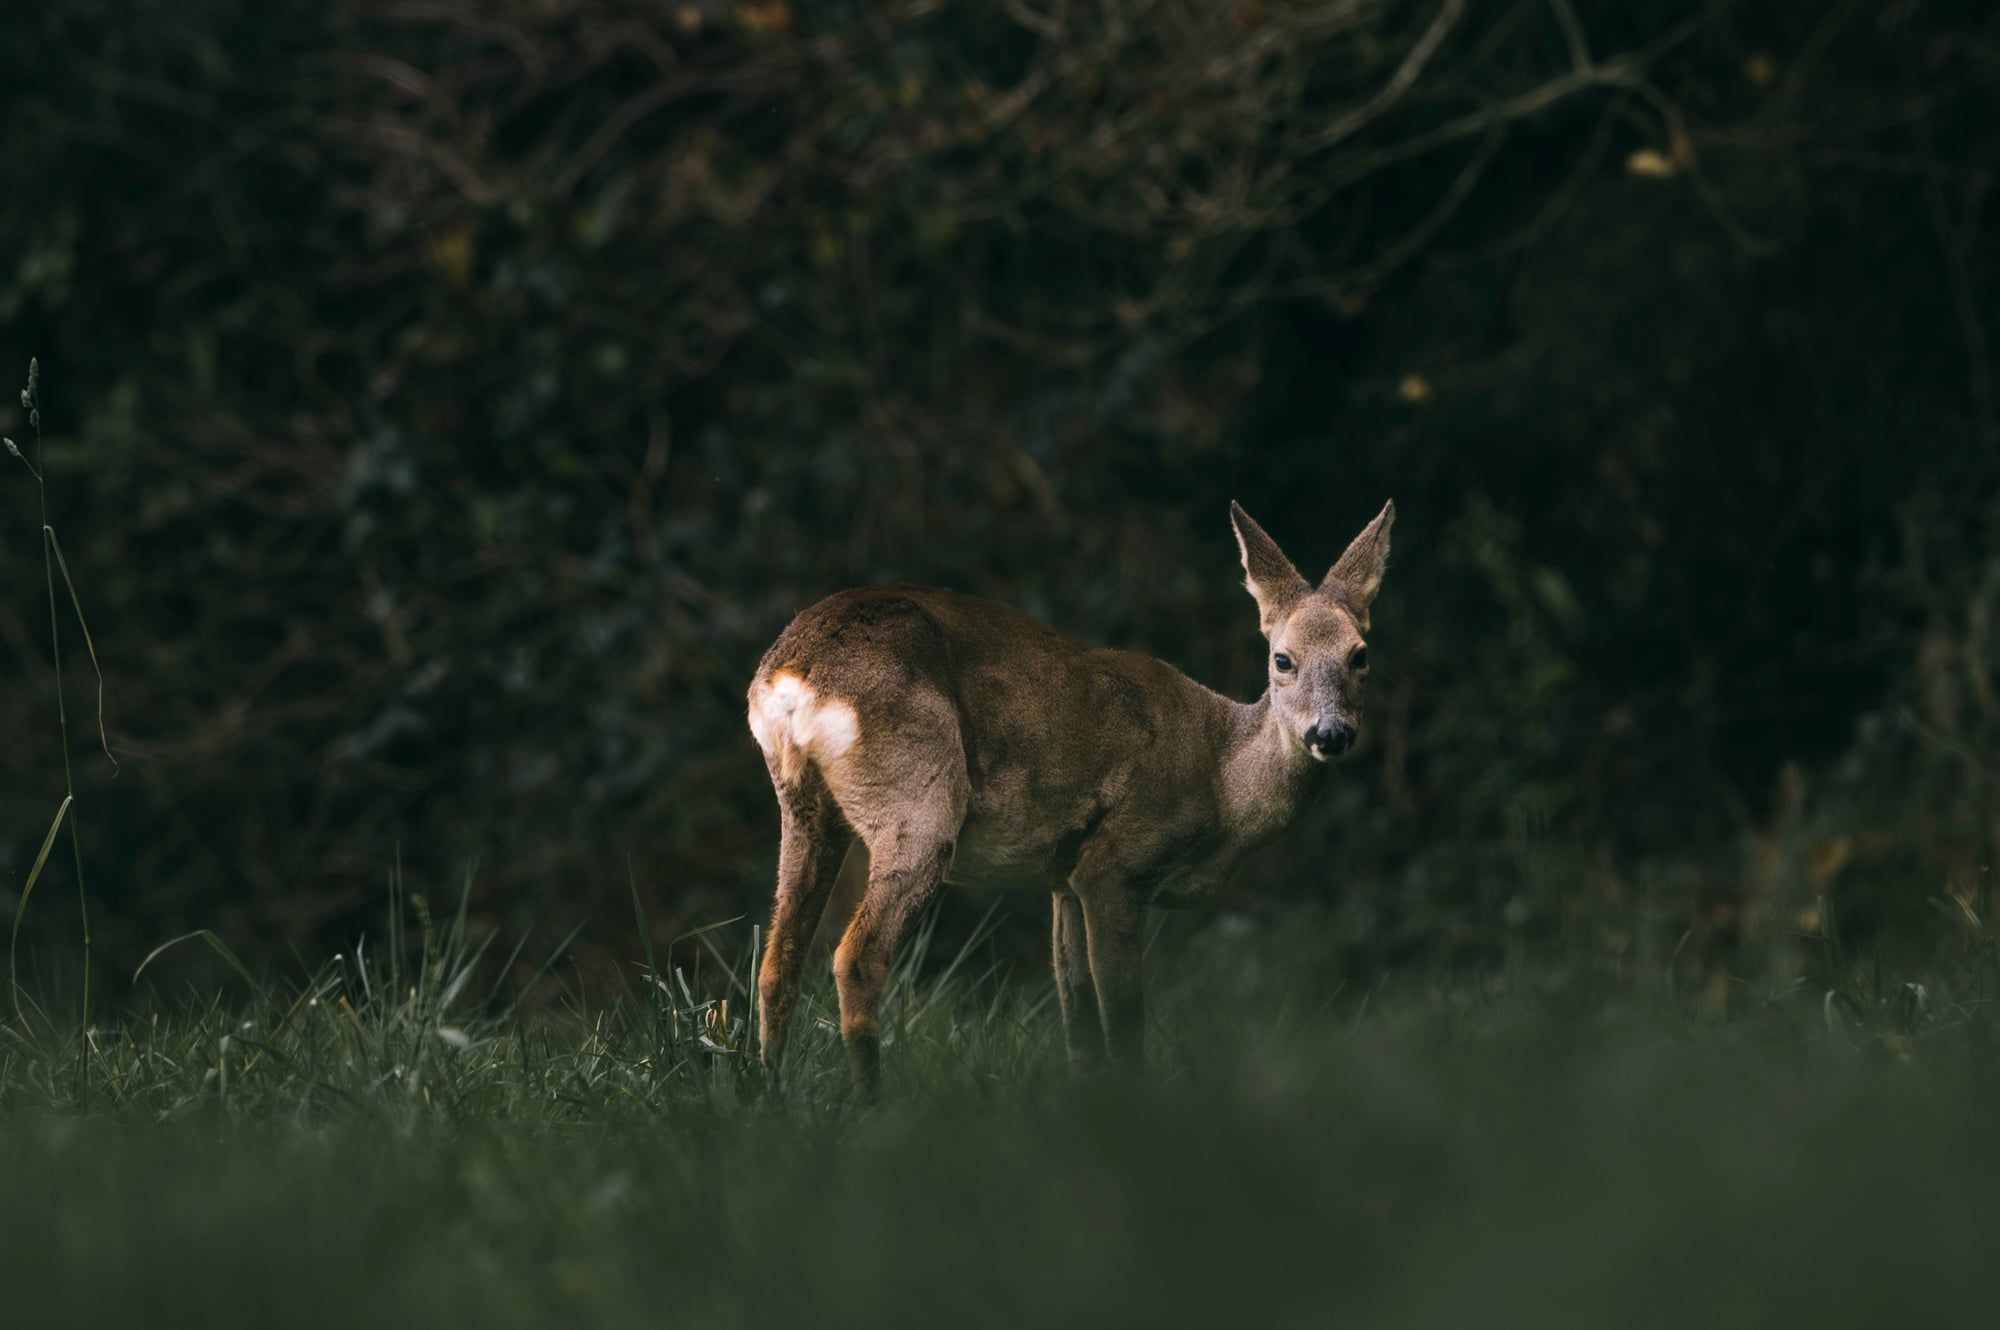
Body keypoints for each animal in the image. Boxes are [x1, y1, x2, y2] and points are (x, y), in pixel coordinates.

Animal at [746, 500, 1393, 1098]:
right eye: (1282, 659)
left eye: (1360, 654)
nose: (1331, 733)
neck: (1221, 782)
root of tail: (791, 674)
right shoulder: (1117, 862)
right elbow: (1123, 1018)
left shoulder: (1063, 875)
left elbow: (1076, 1012)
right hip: (919, 798)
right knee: (856, 958)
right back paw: (871, 1111)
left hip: (805, 808)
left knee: (777, 962)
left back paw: (771, 1099)